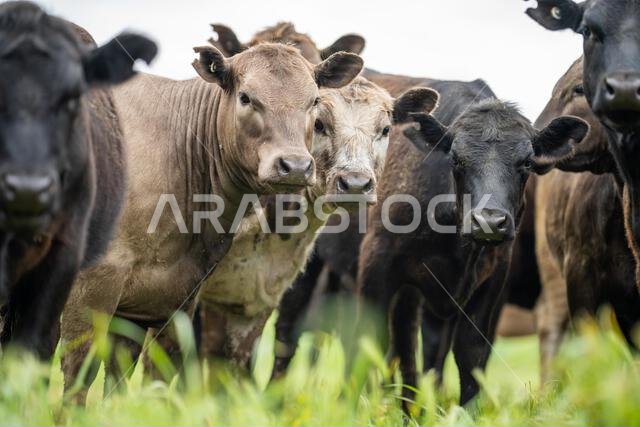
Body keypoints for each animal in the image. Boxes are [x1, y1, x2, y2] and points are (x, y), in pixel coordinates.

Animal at [59, 37, 364, 399]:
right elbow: (80, 373)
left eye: (315, 101)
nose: (295, 166)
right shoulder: (93, 287)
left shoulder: (170, 299)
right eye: (245, 97)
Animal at [357, 78, 588, 414]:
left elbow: (470, 352)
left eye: (527, 162)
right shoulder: (377, 261)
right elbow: (367, 341)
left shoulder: (493, 278)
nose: (489, 221)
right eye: (455, 159)